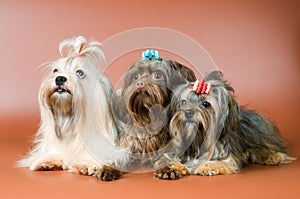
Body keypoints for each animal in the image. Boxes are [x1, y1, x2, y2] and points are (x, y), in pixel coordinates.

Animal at [17, 35, 127, 180]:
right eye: (55, 70)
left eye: (79, 73)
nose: (59, 79)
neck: (71, 120)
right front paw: (47, 161)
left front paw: (84, 164)